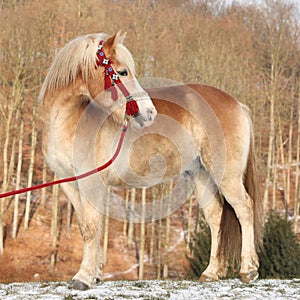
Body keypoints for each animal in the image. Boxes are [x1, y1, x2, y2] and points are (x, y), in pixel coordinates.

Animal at [38, 31, 262, 290]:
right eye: (123, 72)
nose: (149, 112)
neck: (69, 118)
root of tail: (237, 104)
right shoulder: (69, 183)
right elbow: (86, 227)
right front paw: (95, 273)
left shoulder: (91, 183)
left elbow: (92, 227)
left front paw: (83, 277)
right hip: (201, 175)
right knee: (216, 218)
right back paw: (211, 272)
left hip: (226, 175)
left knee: (244, 208)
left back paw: (249, 270)